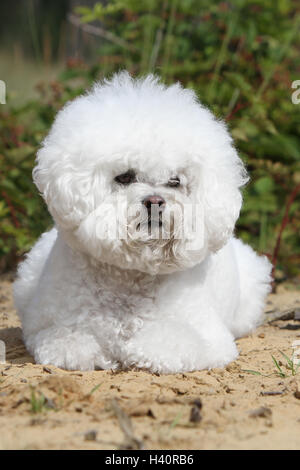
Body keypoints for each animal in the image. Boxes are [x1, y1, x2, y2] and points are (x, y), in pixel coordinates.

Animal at [13, 71, 272, 372]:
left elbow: (165, 342)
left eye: (175, 181)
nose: (155, 202)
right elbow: (69, 341)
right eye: (125, 176)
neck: (131, 275)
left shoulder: (210, 340)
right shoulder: (49, 330)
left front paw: (134, 349)